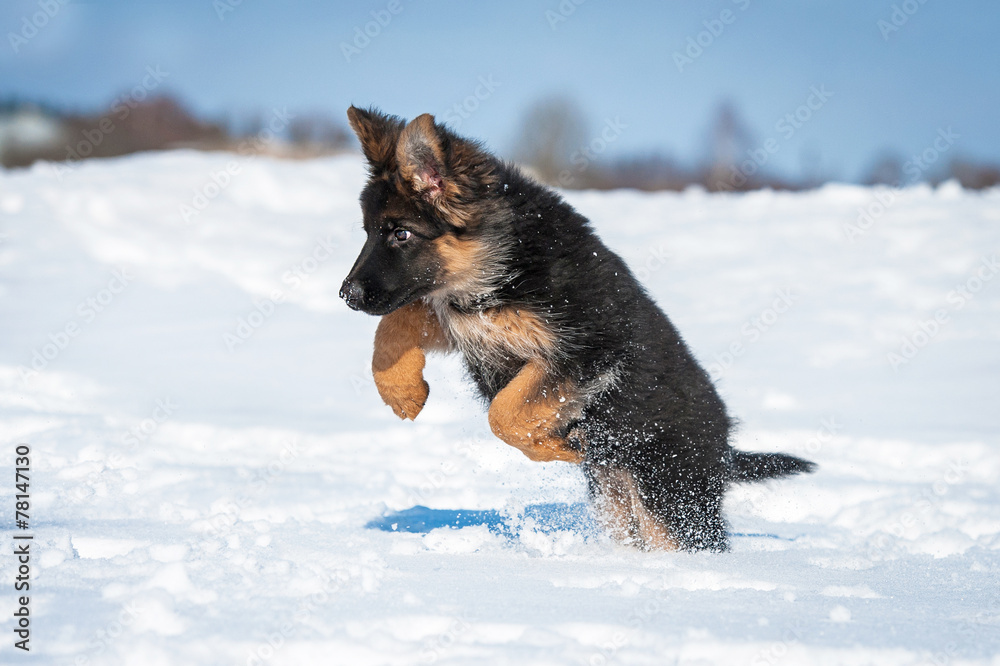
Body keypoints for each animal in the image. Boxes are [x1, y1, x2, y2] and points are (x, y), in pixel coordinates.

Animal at [342, 105, 812, 548]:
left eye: (400, 233)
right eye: (368, 232)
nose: (346, 295)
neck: (498, 258)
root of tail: (725, 446)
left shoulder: (589, 350)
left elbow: (505, 411)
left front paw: (554, 446)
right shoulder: (465, 319)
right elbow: (397, 323)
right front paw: (401, 391)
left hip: (669, 495)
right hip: (615, 494)